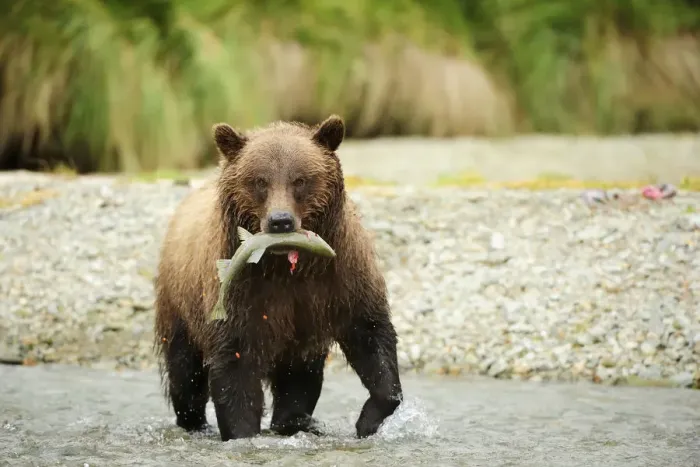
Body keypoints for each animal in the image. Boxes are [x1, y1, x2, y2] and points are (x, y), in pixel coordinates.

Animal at [153, 115, 403, 442]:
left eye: (300, 180)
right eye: (260, 180)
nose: (280, 221)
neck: (284, 265)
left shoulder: (342, 278)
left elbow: (371, 335)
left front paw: (367, 421)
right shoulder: (243, 290)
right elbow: (235, 363)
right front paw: (242, 430)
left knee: (299, 378)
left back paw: (294, 421)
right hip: (180, 301)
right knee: (185, 372)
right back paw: (194, 421)